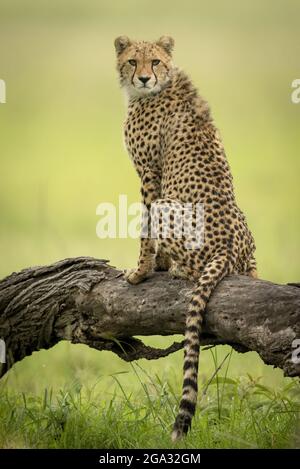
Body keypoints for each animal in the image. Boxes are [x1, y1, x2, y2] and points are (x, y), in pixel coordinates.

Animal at [113, 35, 256, 438]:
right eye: (133, 61)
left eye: (156, 61)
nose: (144, 78)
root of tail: (228, 248)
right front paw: (154, 266)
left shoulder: (150, 173)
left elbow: (145, 227)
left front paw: (141, 272)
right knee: (251, 270)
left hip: (172, 207)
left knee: (191, 268)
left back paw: (176, 269)